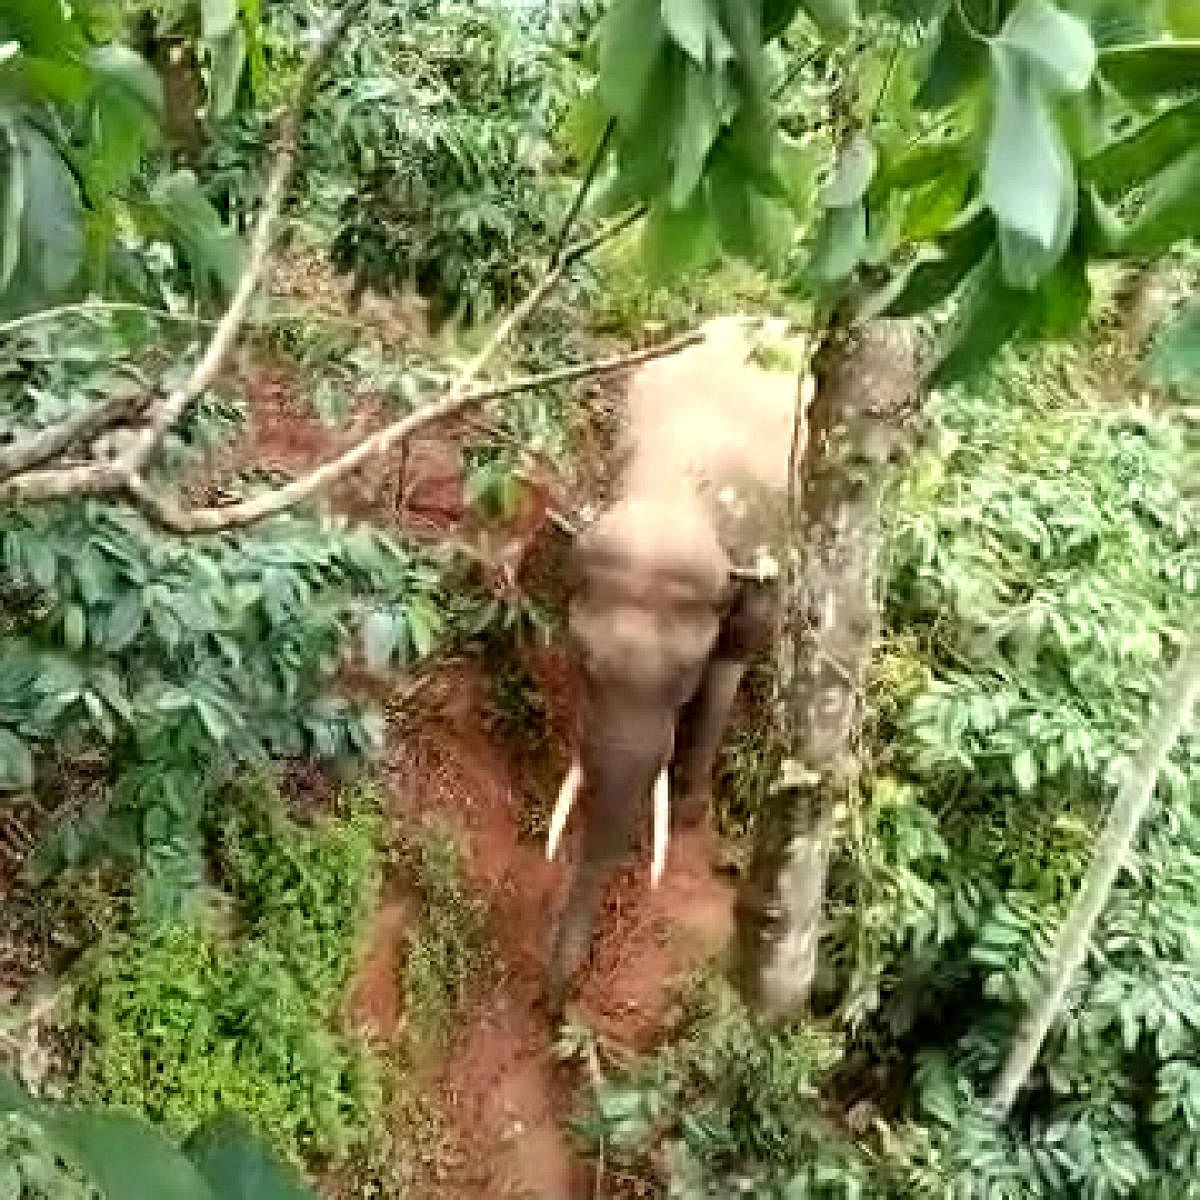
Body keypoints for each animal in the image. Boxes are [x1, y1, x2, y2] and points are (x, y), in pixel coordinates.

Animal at [549, 316, 801, 1003]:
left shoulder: (761, 553)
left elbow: (735, 655)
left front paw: (688, 811)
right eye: (583, 664)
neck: (673, 492)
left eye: (682, 680)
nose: (557, 995)